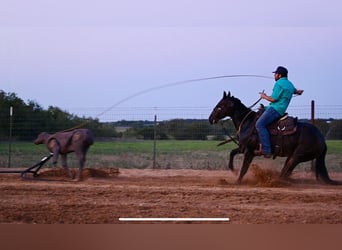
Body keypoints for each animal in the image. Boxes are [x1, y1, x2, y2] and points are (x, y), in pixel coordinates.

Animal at [208, 91, 340, 185]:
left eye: (219, 106)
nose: (210, 118)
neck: (248, 123)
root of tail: (321, 139)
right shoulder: (243, 148)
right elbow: (232, 153)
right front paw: (233, 170)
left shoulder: (249, 151)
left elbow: (244, 168)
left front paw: (237, 181)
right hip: (292, 156)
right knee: (286, 171)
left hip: (298, 156)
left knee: (287, 171)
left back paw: (276, 181)